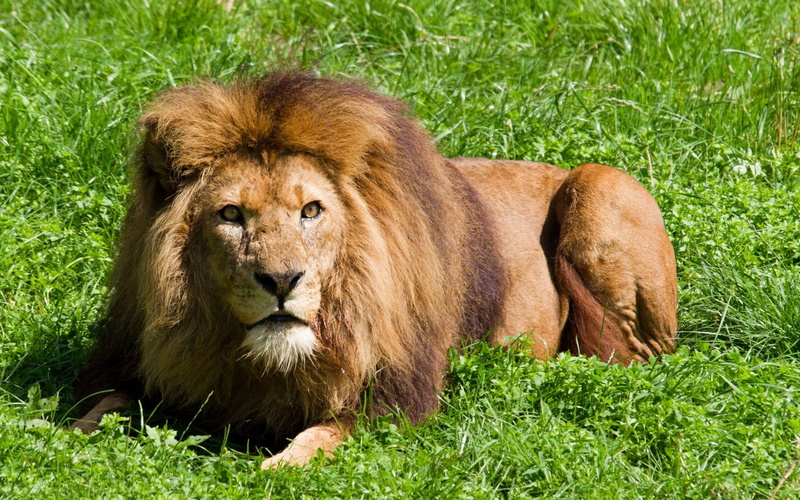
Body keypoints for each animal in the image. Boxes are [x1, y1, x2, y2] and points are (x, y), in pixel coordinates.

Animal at [73, 70, 677, 468]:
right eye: (230, 215)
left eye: (311, 211)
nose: (281, 282)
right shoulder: (138, 358)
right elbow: (102, 405)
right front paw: (63, 444)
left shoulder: (395, 395)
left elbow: (322, 435)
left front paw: (279, 466)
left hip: (599, 185)